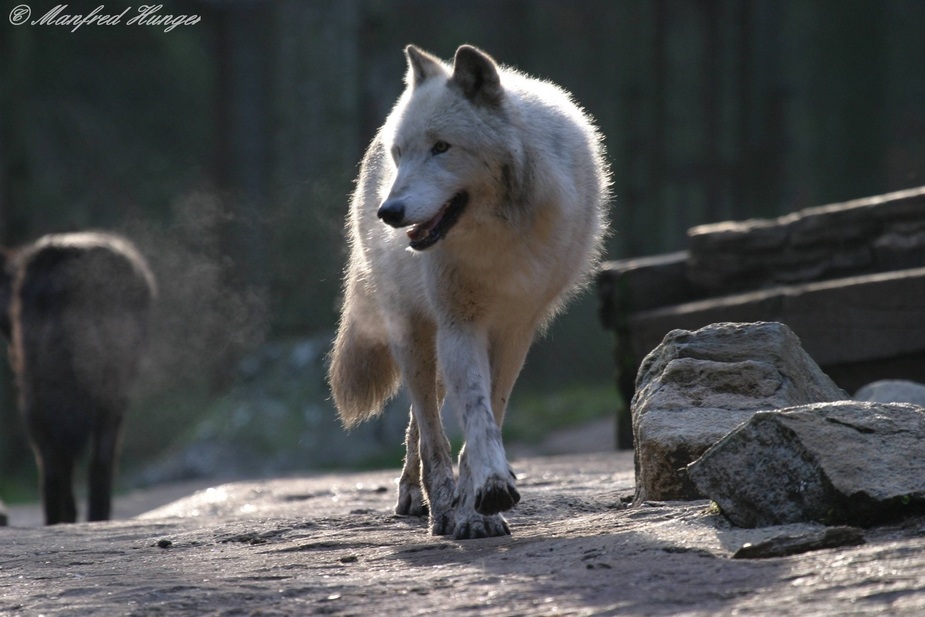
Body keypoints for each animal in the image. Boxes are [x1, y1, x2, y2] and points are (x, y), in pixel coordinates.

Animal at [328, 44, 608, 540]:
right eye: (402, 154)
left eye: (442, 147)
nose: (389, 212)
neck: (500, 236)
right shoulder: (460, 324)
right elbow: (475, 415)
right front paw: (483, 495)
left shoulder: (516, 331)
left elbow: (492, 408)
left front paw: (478, 505)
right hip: (415, 336)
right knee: (427, 426)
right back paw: (433, 504)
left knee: (421, 424)